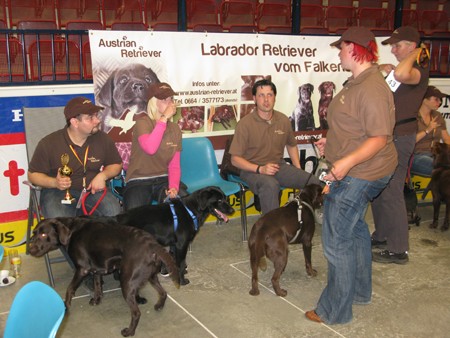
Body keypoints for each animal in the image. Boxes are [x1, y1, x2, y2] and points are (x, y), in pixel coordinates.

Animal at [27, 218, 179, 336]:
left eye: (44, 234)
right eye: (34, 234)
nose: (30, 250)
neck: (71, 230)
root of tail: (152, 244)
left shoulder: (82, 269)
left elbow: (70, 289)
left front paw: (66, 307)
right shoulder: (96, 270)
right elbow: (97, 285)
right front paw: (96, 300)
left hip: (127, 283)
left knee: (136, 313)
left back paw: (129, 332)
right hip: (151, 277)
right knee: (163, 293)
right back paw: (159, 306)